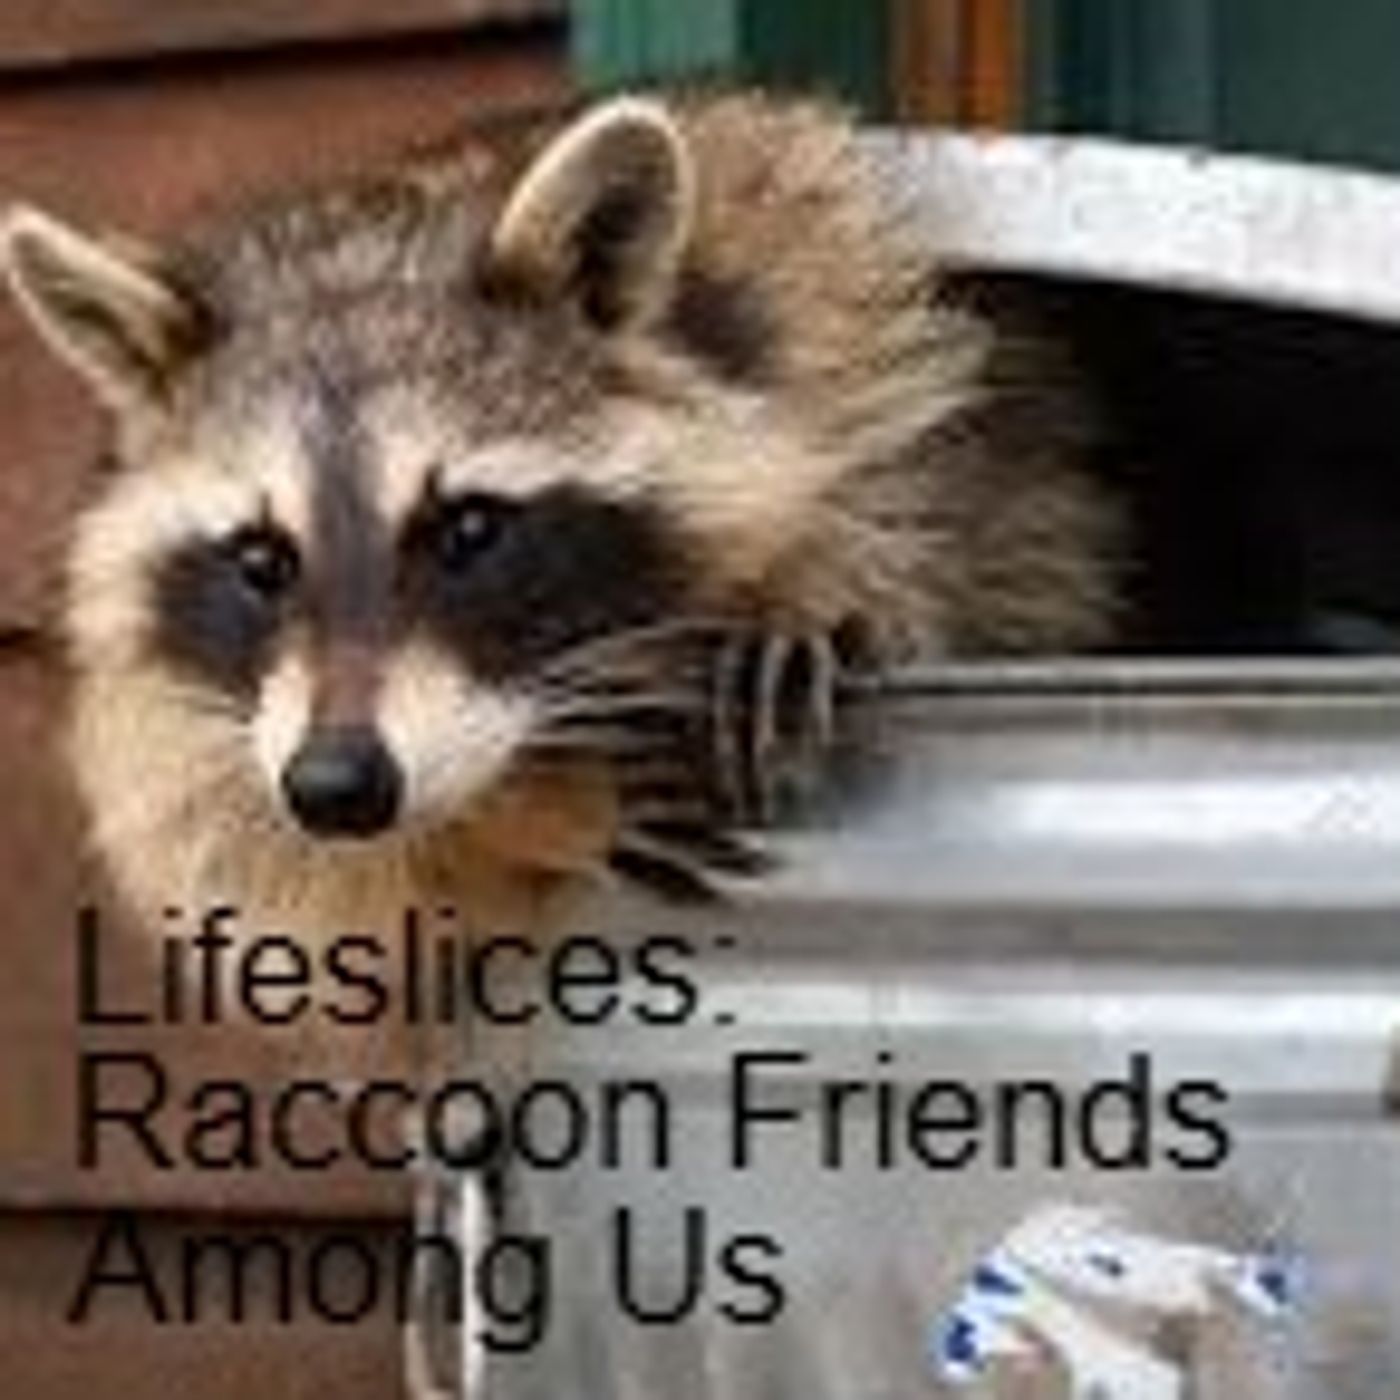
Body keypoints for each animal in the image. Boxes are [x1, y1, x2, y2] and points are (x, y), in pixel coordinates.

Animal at [1, 92, 1119, 939]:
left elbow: (951, 532)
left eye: (467, 530)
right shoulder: (183, 721)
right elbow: (233, 841)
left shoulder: (848, 326)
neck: (374, 249)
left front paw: (820, 576)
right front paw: (547, 808)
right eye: (260, 559)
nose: (338, 785)